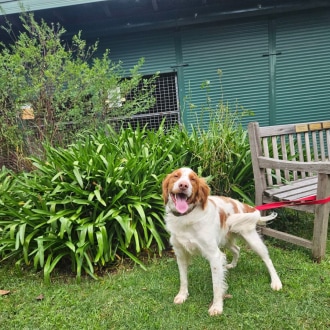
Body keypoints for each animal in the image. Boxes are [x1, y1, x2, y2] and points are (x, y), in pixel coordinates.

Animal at [162, 169, 282, 316]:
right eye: (176, 176)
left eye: (193, 179)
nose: (183, 185)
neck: (186, 217)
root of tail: (244, 205)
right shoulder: (180, 254)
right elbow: (183, 279)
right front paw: (182, 295)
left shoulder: (214, 255)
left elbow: (217, 286)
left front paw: (217, 307)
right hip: (226, 239)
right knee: (237, 249)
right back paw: (232, 265)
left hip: (251, 238)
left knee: (267, 258)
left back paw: (276, 282)